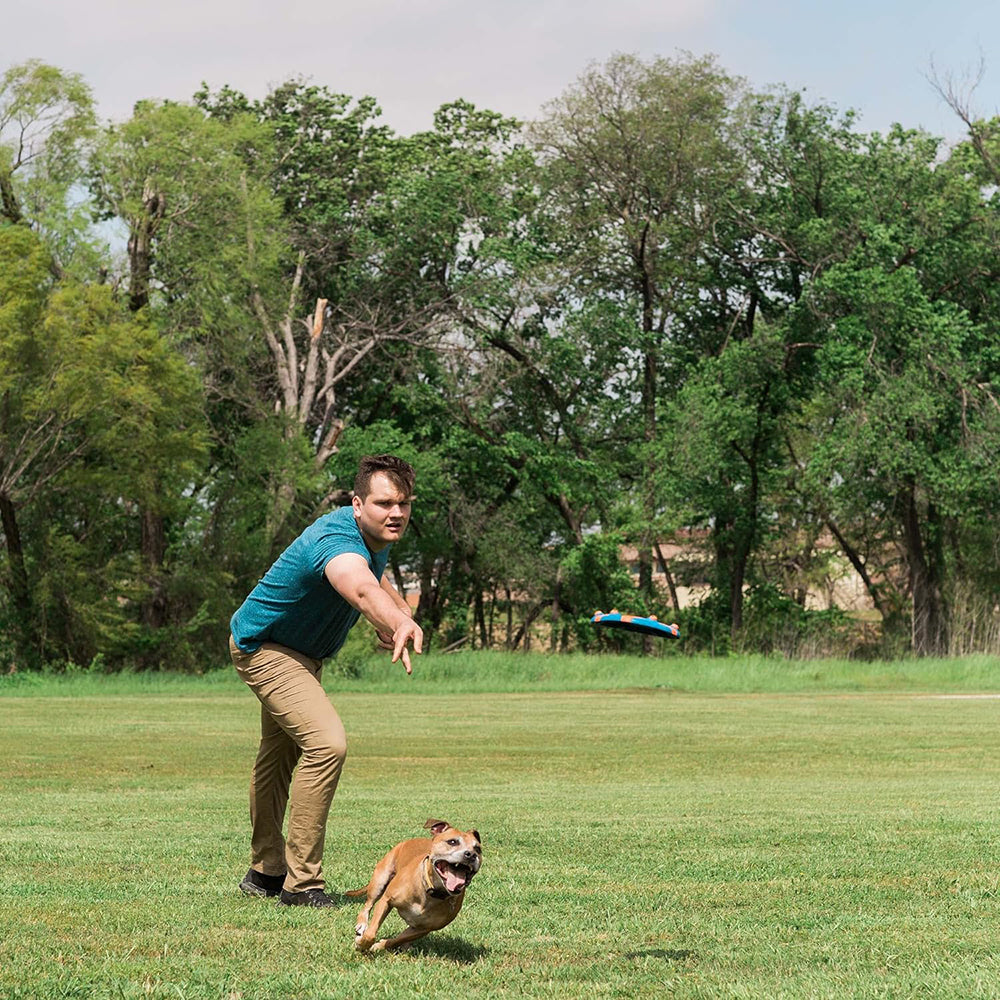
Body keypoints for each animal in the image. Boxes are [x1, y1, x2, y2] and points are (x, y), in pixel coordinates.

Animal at [348, 820, 480, 952]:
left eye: (478, 849)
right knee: (367, 905)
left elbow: (398, 939)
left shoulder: (423, 929)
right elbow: (371, 934)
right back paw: (362, 924)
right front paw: (361, 944)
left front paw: (380, 945)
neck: (429, 890)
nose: (471, 854)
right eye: (452, 842)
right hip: (379, 881)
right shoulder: (386, 900)